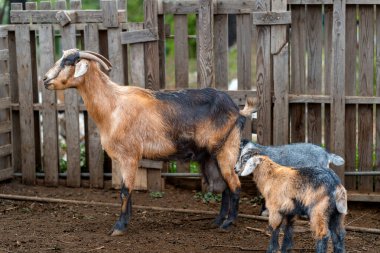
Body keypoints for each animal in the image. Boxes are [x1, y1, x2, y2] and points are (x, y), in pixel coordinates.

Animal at [43, 49, 255, 235]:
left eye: (68, 62)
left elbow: (124, 191)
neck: (113, 105)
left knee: (235, 185)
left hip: (227, 150)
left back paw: (227, 224)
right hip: (212, 157)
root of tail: (238, 111)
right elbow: (127, 191)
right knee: (225, 186)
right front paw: (125, 222)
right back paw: (217, 221)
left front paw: (118, 227)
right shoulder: (124, 159)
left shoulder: (129, 156)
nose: (45, 79)